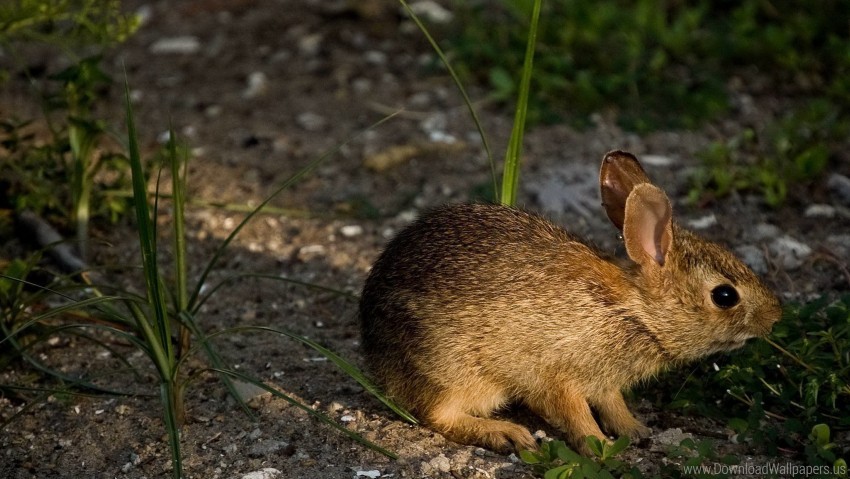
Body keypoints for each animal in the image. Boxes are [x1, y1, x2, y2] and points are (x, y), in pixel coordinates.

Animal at [359, 150, 782, 455]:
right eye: (724, 295)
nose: (775, 316)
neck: (637, 313)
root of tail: (374, 352)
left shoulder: (604, 383)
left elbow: (612, 404)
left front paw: (635, 429)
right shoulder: (556, 375)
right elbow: (575, 414)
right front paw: (600, 445)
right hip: (456, 372)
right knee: (436, 415)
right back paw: (506, 433)